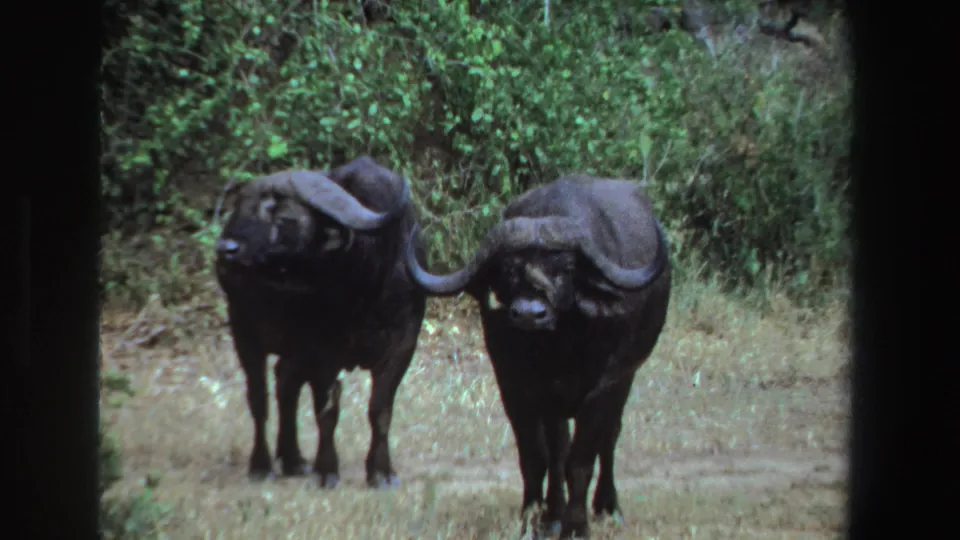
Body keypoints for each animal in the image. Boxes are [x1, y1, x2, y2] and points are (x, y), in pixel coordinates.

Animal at [215, 156, 427, 489]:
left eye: (284, 216)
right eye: (241, 209)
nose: (227, 249)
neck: (366, 283)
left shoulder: (403, 342)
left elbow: (380, 408)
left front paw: (381, 472)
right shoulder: (322, 350)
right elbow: (327, 409)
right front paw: (327, 470)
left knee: (285, 383)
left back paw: (293, 459)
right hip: (244, 330)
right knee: (259, 397)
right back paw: (262, 465)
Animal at [404, 175, 672, 538]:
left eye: (565, 269)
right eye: (508, 270)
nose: (530, 314)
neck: (557, 349)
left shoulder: (606, 385)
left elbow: (581, 458)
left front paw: (576, 525)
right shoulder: (516, 387)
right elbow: (537, 457)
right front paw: (534, 518)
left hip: (625, 378)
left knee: (609, 436)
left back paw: (608, 506)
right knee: (558, 449)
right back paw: (554, 512)